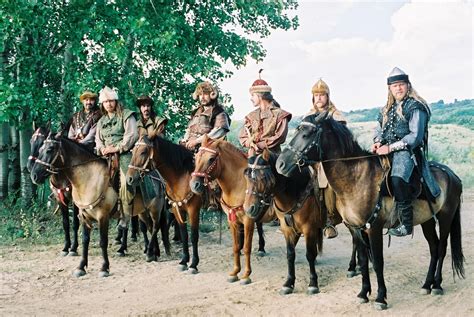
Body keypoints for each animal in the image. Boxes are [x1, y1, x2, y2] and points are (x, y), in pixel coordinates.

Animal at [27, 127, 79, 256]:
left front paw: (74, 248)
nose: (33, 174)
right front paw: (66, 248)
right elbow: (65, 223)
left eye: (49, 149)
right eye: (31, 141)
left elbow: (75, 223)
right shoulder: (60, 198)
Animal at [126, 135, 202, 272]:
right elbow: (182, 234)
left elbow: (193, 236)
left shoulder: (192, 210)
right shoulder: (174, 209)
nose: (129, 178)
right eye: (132, 151)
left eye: (143, 152)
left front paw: (193, 264)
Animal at [189, 136, 274, 284]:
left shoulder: (248, 220)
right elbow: (236, 246)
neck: (237, 185)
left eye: (211, 159)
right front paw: (235, 272)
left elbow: (246, 247)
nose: (194, 184)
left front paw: (246, 275)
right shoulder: (232, 220)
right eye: (197, 156)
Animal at [243, 148, 324, 294]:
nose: (248, 208)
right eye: (247, 177)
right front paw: (289, 283)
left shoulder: (309, 228)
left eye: (263, 177)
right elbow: (290, 254)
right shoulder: (288, 229)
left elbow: (310, 254)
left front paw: (313, 283)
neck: (296, 190)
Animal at [276, 111, 464, 308]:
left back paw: (437, 285)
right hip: (427, 221)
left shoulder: (373, 228)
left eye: (306, 134)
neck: (356, 178)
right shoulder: (357, 228)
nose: (280, 164)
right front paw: (363, 293)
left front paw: (381, 297)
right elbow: (364, 260)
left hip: (445, 217)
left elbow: (378, 262)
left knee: (441, 248)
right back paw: (427, 284)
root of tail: (453, 176)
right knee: (434, 248)